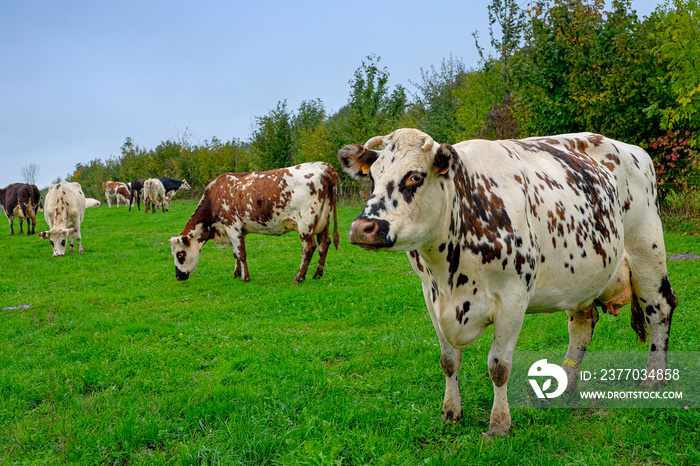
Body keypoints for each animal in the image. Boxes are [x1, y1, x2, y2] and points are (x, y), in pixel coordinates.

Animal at [170, 160, 340, 284]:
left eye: (180, 254)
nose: (178, 276)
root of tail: (324, 167)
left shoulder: (232, 225)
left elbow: (241, 253)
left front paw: (245, 278)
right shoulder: (238, 230)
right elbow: (236, 253)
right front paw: (237, 273)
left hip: (305, 223)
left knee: (309, 247)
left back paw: (299, 277)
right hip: (324, 220)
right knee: (324, 243)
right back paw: (317, 274)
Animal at [340, 128, 680, 436]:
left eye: (414, 177)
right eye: (373, 178)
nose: (362, 227)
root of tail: (632, 149)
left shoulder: (513, 297)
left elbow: (498, 366)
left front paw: (499, 424)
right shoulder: (431, 295)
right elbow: (448, 360)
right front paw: (450, 412)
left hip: (647, 252)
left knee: (660, 309)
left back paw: (653, 379)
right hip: (582, 275)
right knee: (583, 325)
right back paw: (566, 384)